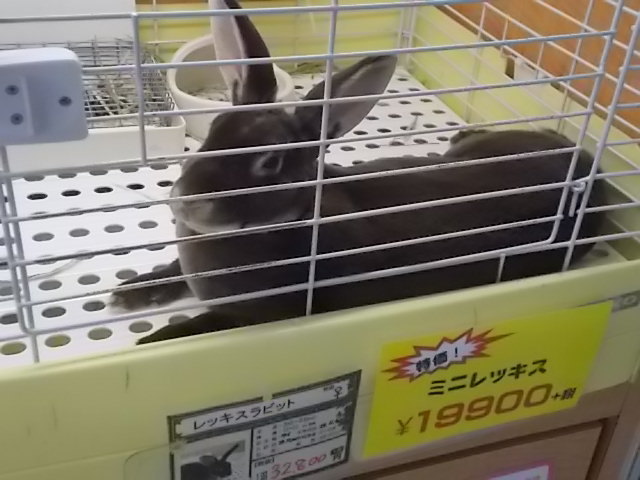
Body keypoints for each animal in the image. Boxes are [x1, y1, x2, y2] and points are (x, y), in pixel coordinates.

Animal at [110, 0, 604, 344]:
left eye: (270, 163)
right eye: (214, 131)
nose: (186, 201)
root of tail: (589, 169)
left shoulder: (249, 317)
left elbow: (194, 328)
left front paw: (149, 342)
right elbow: (171, 269)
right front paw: (128, 293)